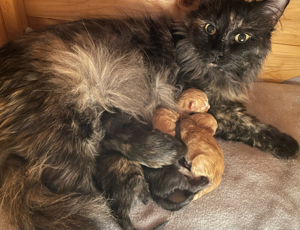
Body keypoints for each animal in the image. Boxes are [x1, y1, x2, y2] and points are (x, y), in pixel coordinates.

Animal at [0, 0, 298, 229]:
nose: (217, 52)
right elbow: (249, 123)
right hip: (71, 138)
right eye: (210, 28)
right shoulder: (205, 103)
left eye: (241, 37)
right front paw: (288, 144)